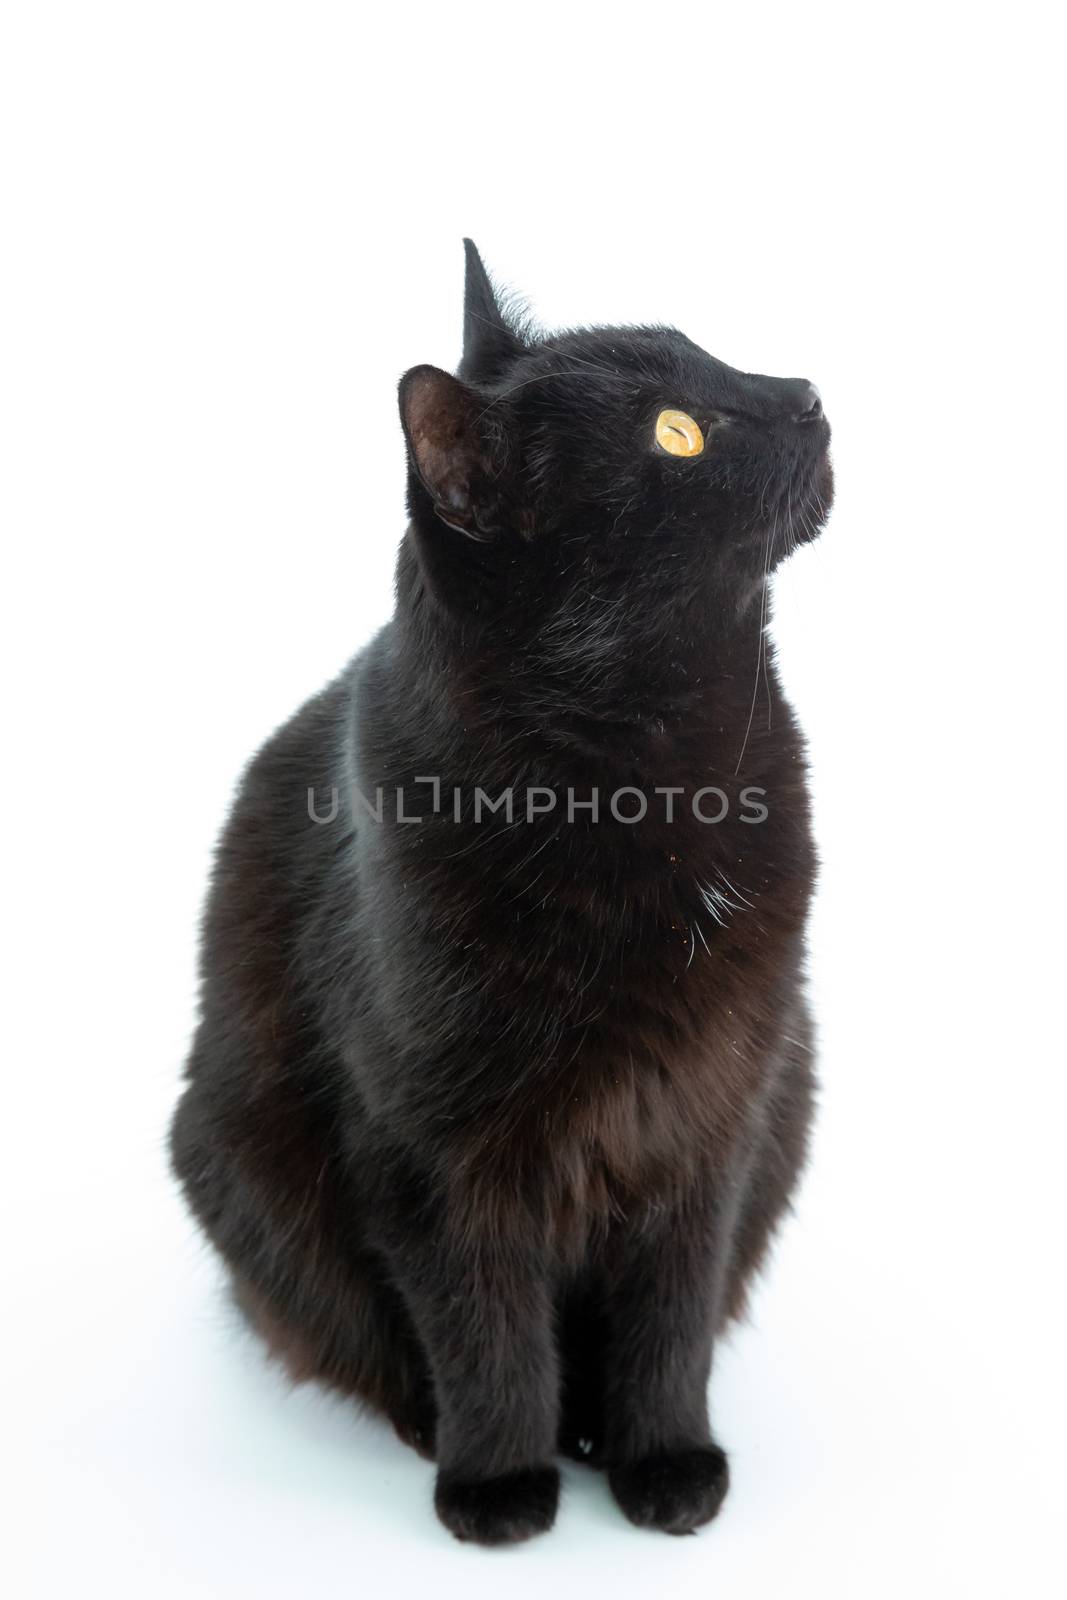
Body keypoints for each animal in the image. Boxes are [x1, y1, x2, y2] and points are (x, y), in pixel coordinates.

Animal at [171, 236, 831, 1536]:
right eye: (675, 433)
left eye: (711, 355)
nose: (808, 398)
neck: (654, 786)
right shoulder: (429, 1154)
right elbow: (482, 1326)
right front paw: (497, 1487)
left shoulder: (711, 1118)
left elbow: (671, 1316)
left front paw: (664, 1464)